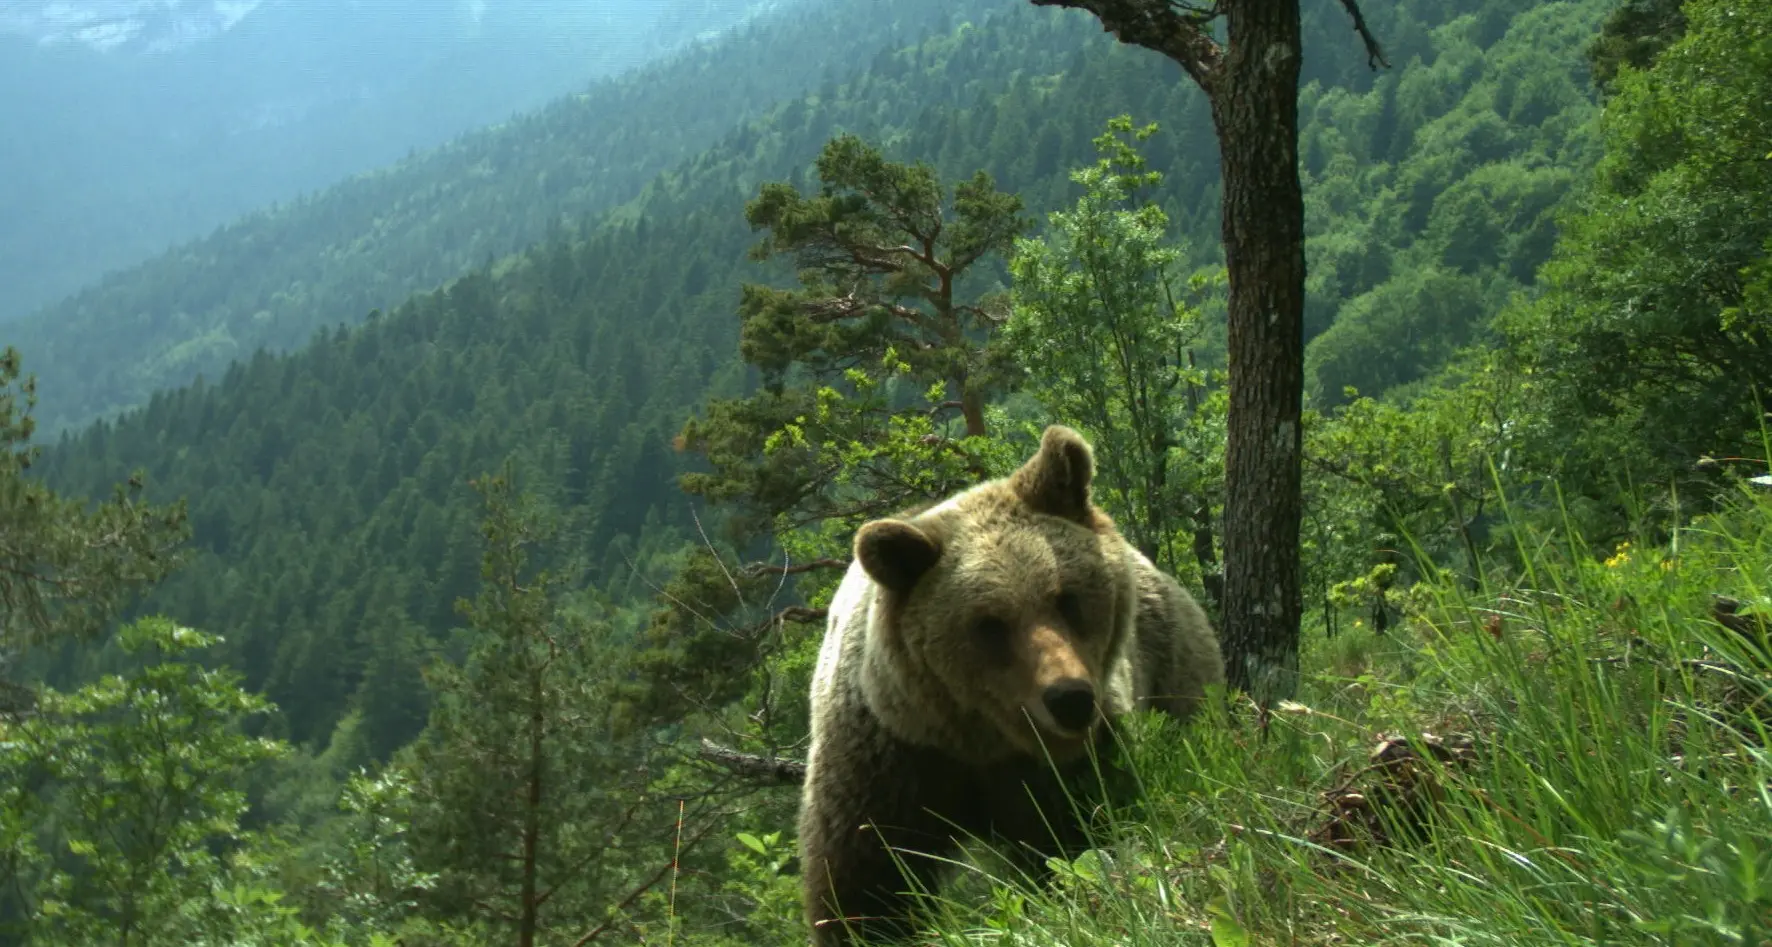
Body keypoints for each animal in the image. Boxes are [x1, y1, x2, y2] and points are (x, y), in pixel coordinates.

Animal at [796, 423, 1225, 946]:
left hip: (1174, 665)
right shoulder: (890, 757)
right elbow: (866, 879)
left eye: (1066, 597)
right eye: (989, 624)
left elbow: (1078, 840)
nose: (1070, 699)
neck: (982, 740)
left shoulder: (1071, 765)